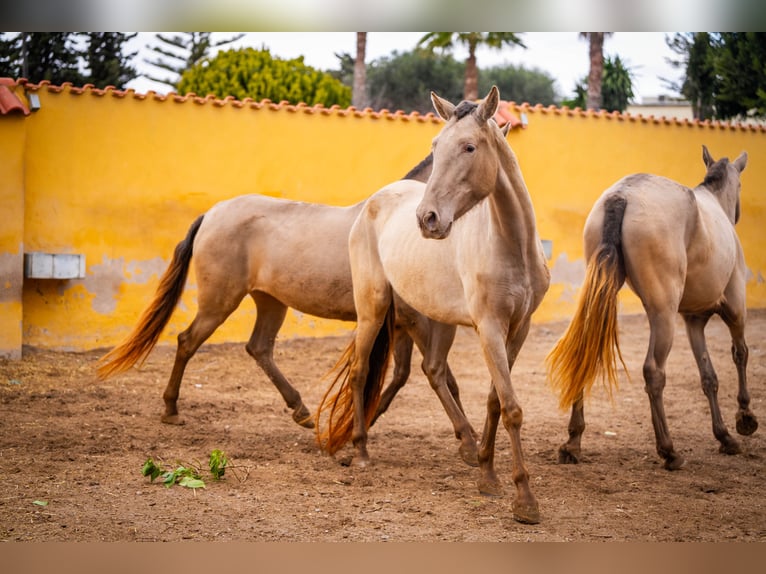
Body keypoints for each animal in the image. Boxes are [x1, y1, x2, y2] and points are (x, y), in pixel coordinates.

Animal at [96, 154, 481, 467]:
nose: (434, 220)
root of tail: (212, 214)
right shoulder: (413, 321)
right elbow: (434, 374)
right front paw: (466, 441)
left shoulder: (401, 324)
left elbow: (419, 375)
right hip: (219, 301)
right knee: (187, 341)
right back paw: (171, 409)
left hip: (270, 302)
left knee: (258, 347)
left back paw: (302, 412)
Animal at [316, 86, 551, 524]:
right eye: (435, 147)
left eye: (470, 147)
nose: (427, 218)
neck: (511, 246)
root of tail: (374, 201)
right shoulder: (489, 328)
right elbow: (511, 406)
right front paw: (525, 500)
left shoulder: (518, 329)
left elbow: (495, 400)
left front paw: (487, 475)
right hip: (373, 308)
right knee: (360, 372)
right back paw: (361, 450)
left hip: (437, 319)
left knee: (434, 370)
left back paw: (466, 445)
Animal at [546, 145, 757, 470]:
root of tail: (622, 195)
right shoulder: (735, 308)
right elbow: (740, 354)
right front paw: (745, 418)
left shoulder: (693, 321)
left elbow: (709, 377)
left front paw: (724, 436)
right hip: (663, 314)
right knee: (653, 371)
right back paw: (669, 450)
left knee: (584, 354)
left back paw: (572, 442)